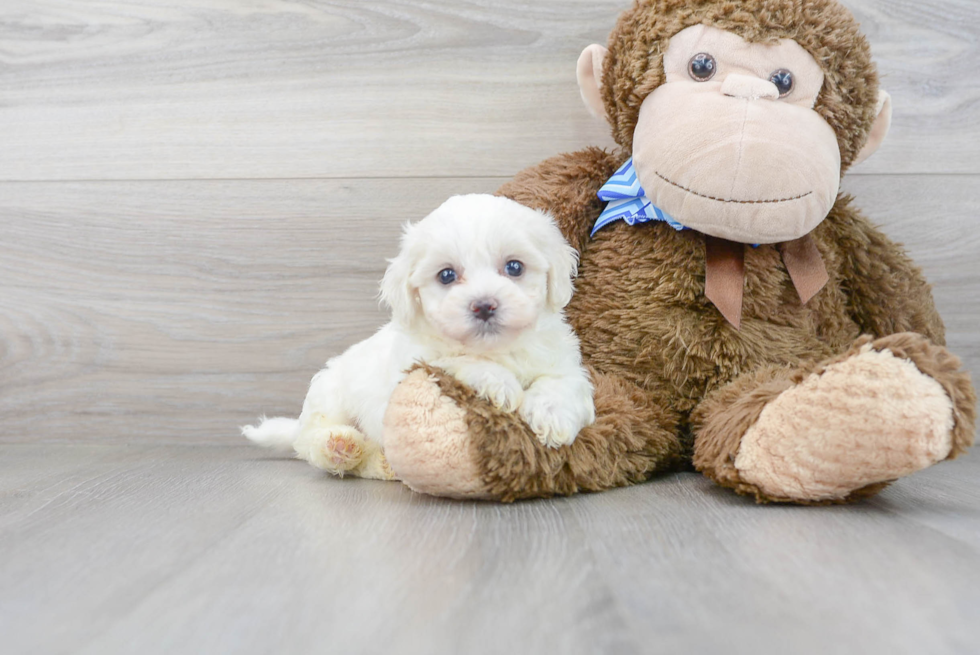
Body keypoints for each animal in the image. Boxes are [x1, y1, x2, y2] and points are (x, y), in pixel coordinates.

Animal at [245, 192, 596, 480]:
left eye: (514, 267)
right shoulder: (417, 362)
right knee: (310, 443)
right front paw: (499, 383)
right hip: (330, 398)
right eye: (447, 275)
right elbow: (458, 360)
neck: (496, 349)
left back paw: (382, 463)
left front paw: (552, 418)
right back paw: (338, 446)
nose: (484, 305)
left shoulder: (566, 364)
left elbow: (561, 385)